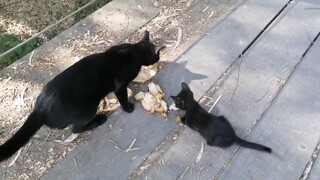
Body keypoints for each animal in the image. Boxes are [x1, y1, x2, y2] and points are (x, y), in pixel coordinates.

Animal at [0, 30, 165, 161]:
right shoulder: (120, 85)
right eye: (157, 55)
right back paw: (100, 119)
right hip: (88, 109)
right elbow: (123, 97)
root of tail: (40, 109)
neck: (134, 50)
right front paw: (129, 108)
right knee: (77, 128)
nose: (159, 59)